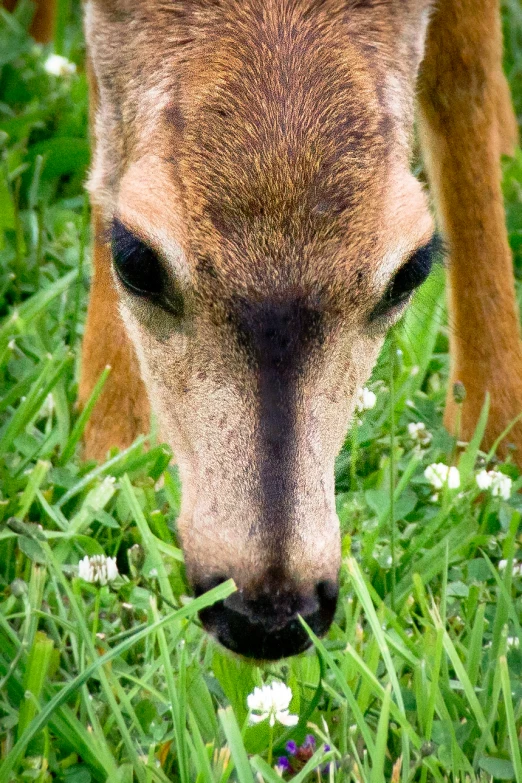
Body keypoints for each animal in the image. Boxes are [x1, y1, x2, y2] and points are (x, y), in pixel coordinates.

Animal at [7, 0, 520, 660]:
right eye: (135, 259)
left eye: (411, 270)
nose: (268, 614)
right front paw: (112, 441)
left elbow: (464, 70)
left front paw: (497, 437)